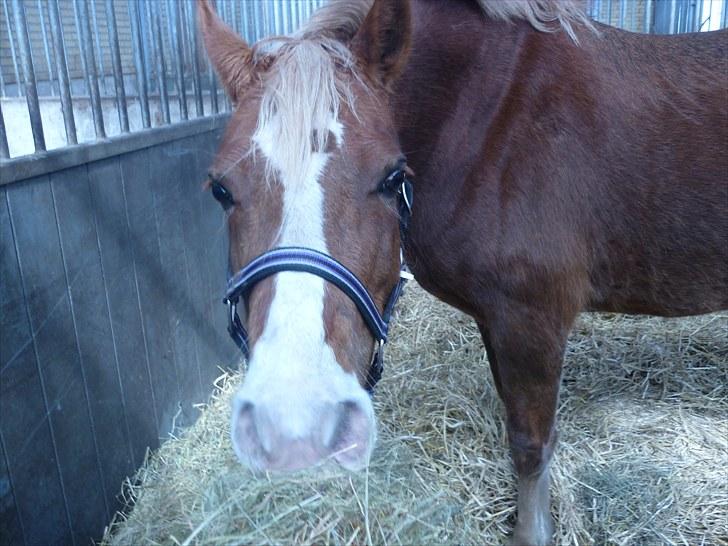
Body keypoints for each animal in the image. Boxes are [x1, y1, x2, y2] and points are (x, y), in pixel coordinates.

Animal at [196, 0, 728, 544]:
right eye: (220, 189)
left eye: (392, 178)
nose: (295, 419)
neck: (491, 119)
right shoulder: (496, 321)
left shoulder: (533, 319)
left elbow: (531, 444)